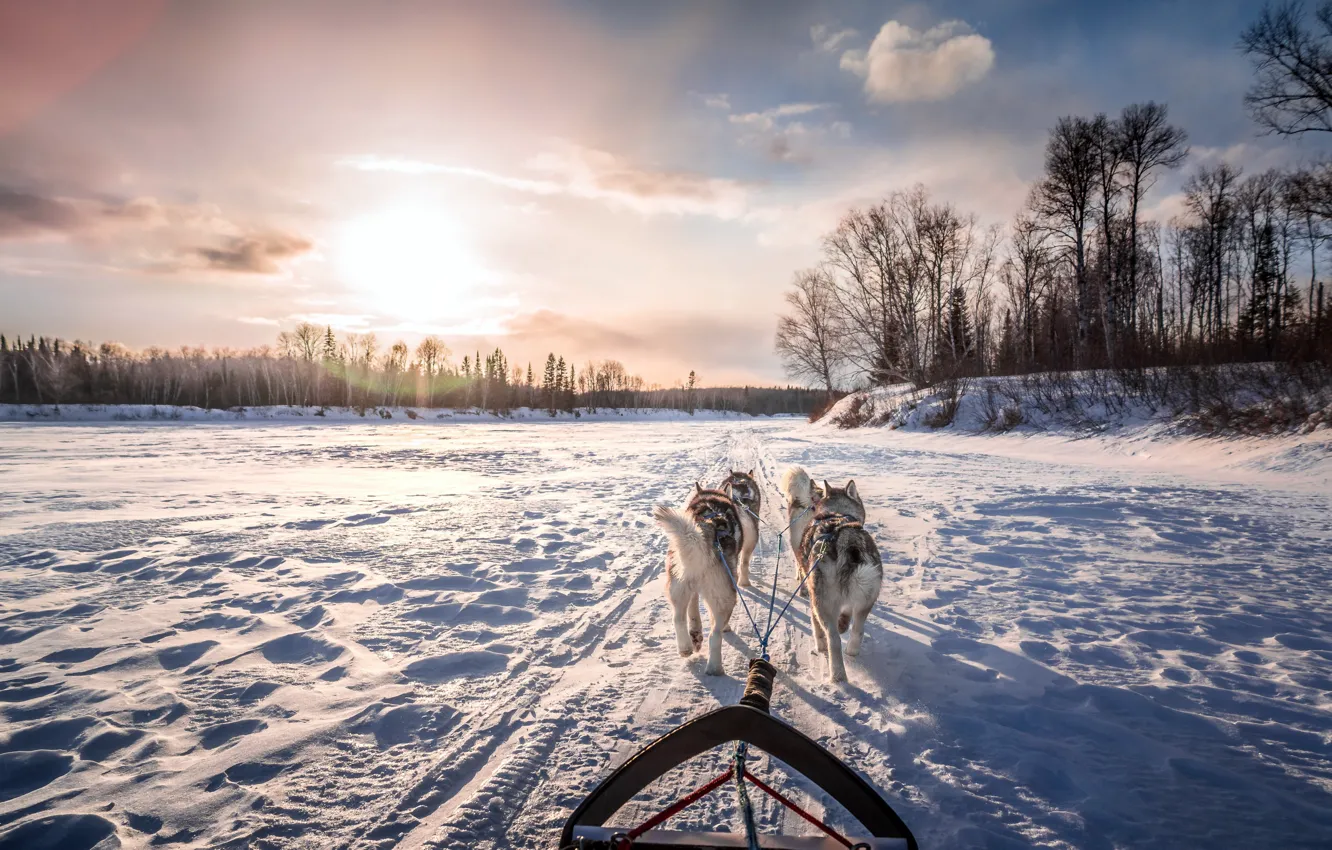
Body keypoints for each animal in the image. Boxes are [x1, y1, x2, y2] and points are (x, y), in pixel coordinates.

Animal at [655, 484, 751, 679]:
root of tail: (704, 536)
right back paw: (715, 667)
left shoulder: (692, 589)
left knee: (678, 618)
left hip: (678, 586)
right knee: (715, 635)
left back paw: (686, 647)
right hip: (725, 598)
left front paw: (695, 631)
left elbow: (693, 611)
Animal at [788, 479, 884, 687]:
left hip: (822, 603)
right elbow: (846, 614)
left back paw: (838, 675)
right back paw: (851, 651)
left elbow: (817, 627)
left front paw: (820, 645)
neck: (837, 513)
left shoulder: (814, 597)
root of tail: (849, 541)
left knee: (833, 639)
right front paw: (843, 623)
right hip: (867, 599)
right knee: (858, 630)